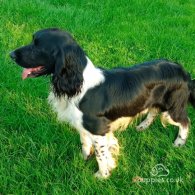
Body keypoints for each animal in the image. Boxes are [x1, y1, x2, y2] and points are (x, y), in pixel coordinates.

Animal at [10, 27, 195, 178]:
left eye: (37, 46)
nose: (11, 54)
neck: (79, 82)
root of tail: (183, 71)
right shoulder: (83, 124)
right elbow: (85, 143)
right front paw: (83, 159)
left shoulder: (98, 129)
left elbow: (101, 155)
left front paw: (102, 175)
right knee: (153, 111)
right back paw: (142, 126)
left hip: (172, 108)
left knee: (185, 121)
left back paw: (179, 142)